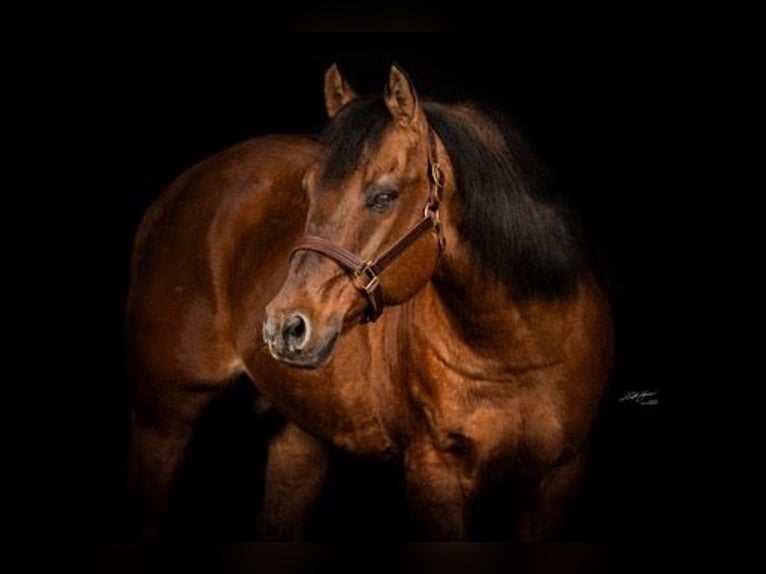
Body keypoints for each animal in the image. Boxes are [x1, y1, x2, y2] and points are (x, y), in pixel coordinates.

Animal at [126, 63, 613, 540]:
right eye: (308, 190)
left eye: (384, 196)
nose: (284, 327)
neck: (516, 354)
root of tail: (177, 191)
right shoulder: (433, 476)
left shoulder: (559, 478)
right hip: (161, 422)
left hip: (301, 436)